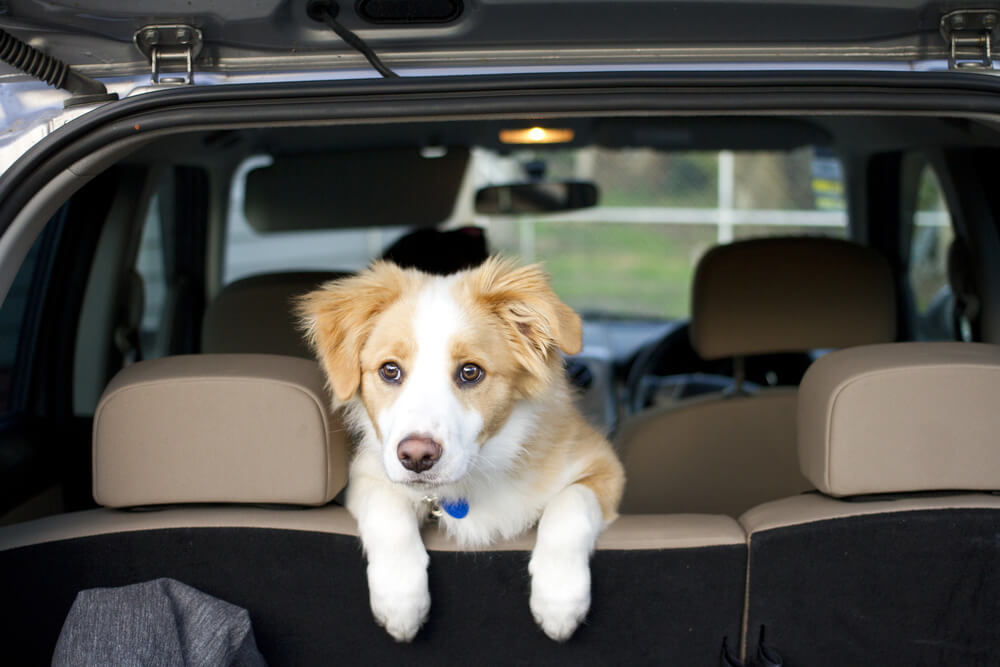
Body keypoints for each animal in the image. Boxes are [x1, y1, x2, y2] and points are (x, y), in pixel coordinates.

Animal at [296, 256, 624, 640]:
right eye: (390, 370)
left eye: (470, 372)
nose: (417, 458)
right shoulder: (367, 472)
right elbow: (386, 506)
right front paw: (400, 597)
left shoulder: (604, 465)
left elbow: (571, 504)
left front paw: (559, 597)